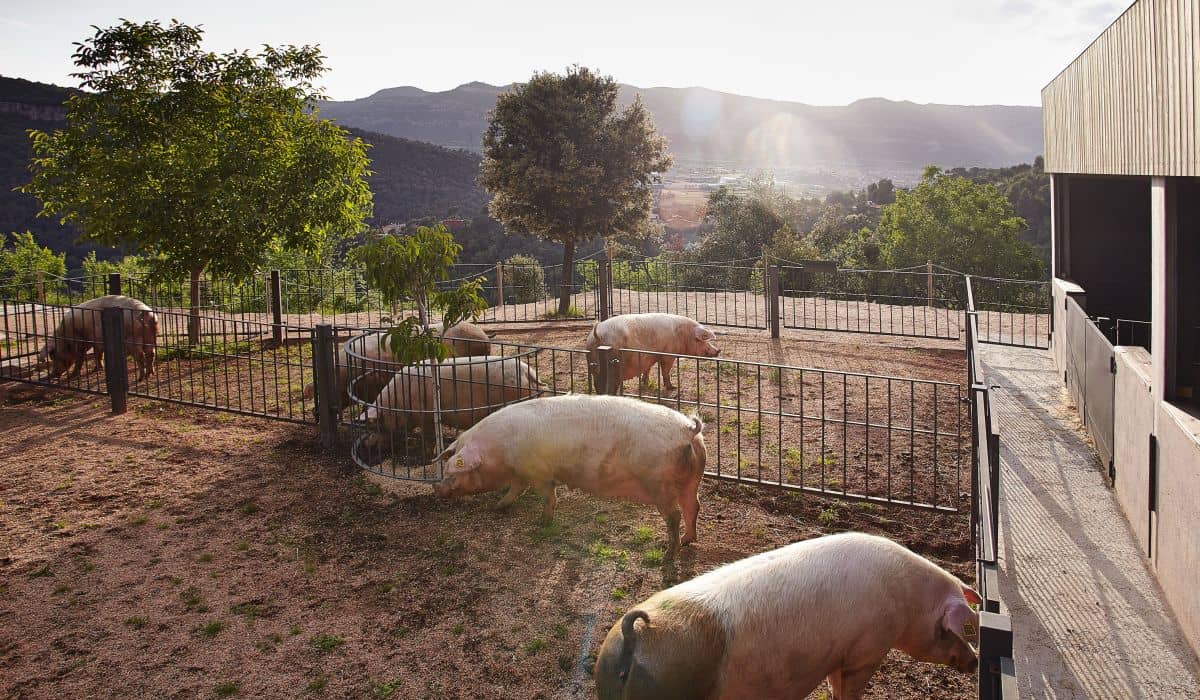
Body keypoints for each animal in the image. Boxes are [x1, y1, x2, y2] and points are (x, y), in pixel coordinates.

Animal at [583, 314, 715, 393]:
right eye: (702, 339)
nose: (717, 351)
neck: (683, 334)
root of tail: (598, 334)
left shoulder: (648, 357)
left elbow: (647, 369)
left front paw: (645, 383)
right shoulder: (668, 355)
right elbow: (665, 371)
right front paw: (673, 388)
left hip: (592, 363)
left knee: (597, 383)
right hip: (613, 366)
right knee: (609, 385)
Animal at [592, 533, 984, 696]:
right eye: (959, 629)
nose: (976, 660)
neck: (910, 602)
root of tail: (634, 635)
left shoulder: (838, 654)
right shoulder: (867, 649)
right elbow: (848, 689)